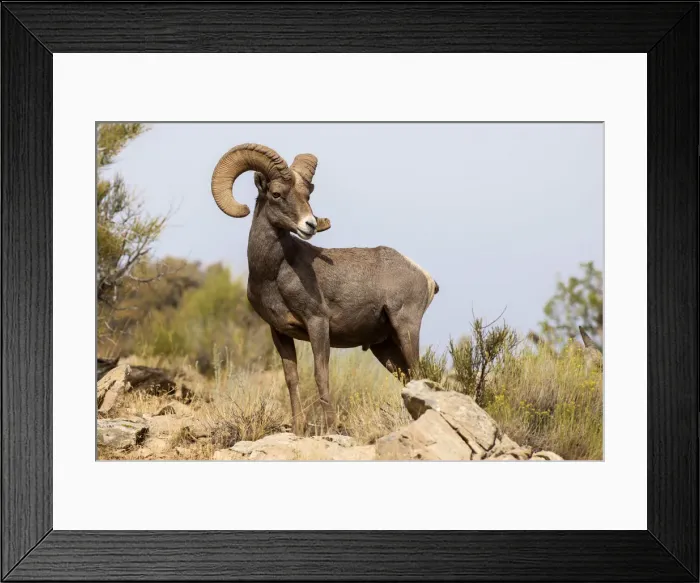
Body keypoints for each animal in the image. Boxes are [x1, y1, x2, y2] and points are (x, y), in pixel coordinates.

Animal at [210, 143, 439, 434]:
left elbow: (321, 375)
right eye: (276, 194)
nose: (309, 224)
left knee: (418, 375)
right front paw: (298, 429)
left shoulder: (317, 323)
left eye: (306, 195)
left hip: (406, 328)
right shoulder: (279, 332)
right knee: (407, 378)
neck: (274, 274)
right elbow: (292, 378)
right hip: (384, 346)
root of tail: (426, 277)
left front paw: (330, 428)